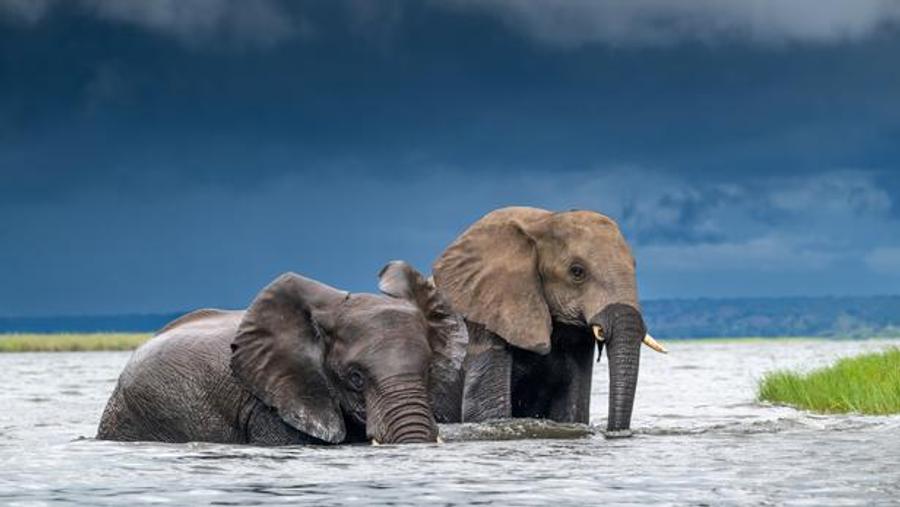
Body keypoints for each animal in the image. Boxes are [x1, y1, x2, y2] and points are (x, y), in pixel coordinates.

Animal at [433, 206, 665, 436]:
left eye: (635, 265)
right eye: (577, 271)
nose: (616, 433)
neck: (543, 222)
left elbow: (573, 409)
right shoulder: (486, 310)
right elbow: (485, 410)